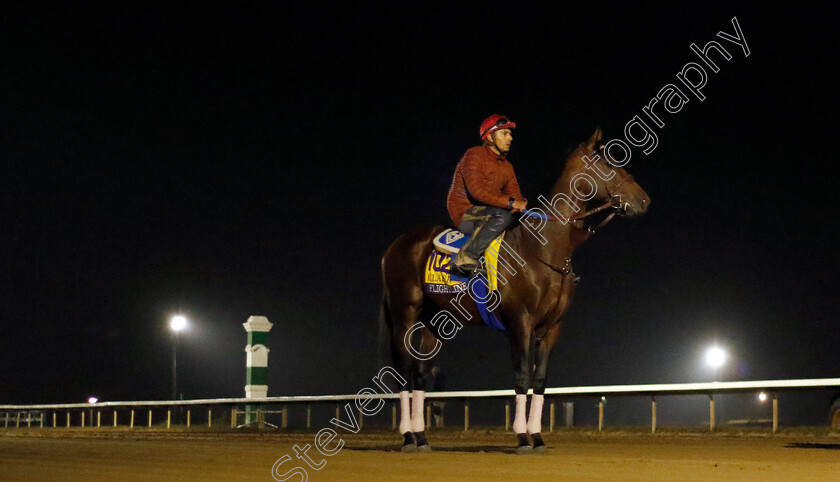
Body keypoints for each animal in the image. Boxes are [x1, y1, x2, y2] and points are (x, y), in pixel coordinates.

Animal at [378, 127, 648, 452]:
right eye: (608, 163)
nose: (644, 200)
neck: (540, 248)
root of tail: (395, 246)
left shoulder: (552, 327)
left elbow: (540, 381)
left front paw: (538, 437)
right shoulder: (520, 323)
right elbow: (521, 378)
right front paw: (522, 438)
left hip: (436, 318)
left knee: (420, 374)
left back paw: (421, 437)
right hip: (405, 310)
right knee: (404, 370)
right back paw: (407, 436)